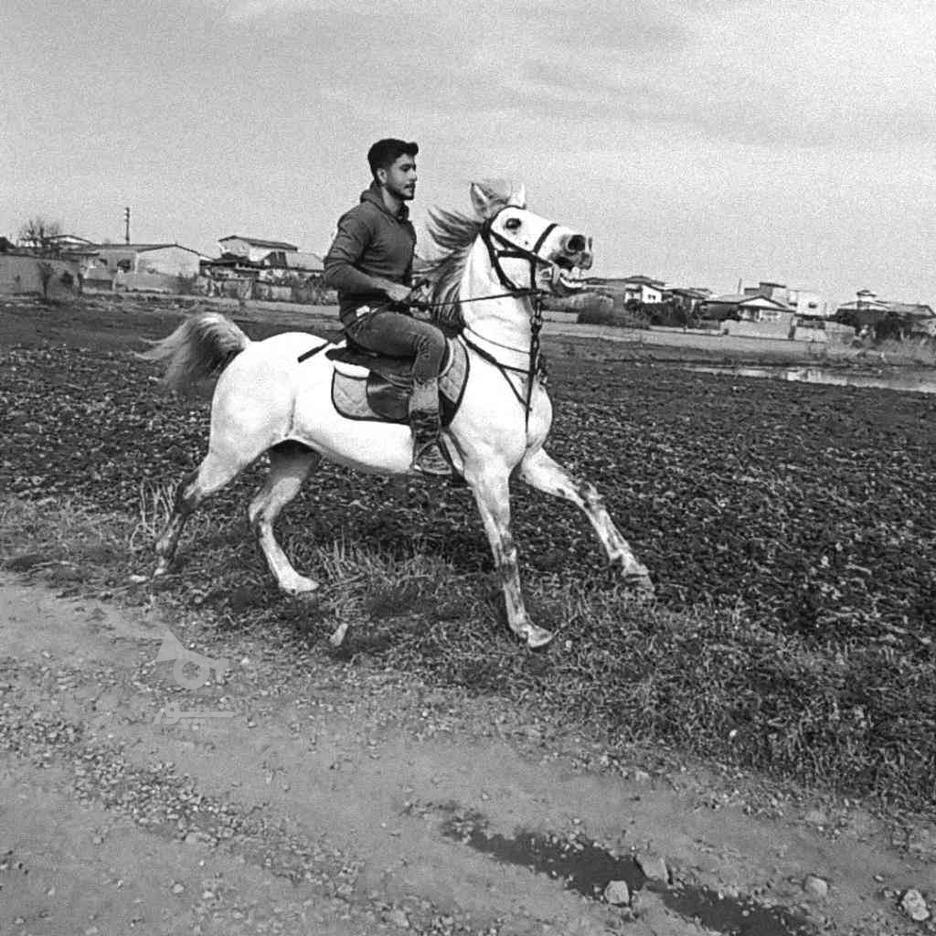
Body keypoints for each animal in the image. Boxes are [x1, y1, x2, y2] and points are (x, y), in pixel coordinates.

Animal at [143, 183, 652, 652]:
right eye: (512, 223)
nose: (579, 243)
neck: (502, 362)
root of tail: (249, 348)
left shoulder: (529, 462)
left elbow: (589, 495)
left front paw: (633, 571)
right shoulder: (487, 474)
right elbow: (506, 547)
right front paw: (526, 629)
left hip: (295, 457)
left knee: (259, 512)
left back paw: (292, 582)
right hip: (232, 451)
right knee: (188, 492)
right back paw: (160, 563)